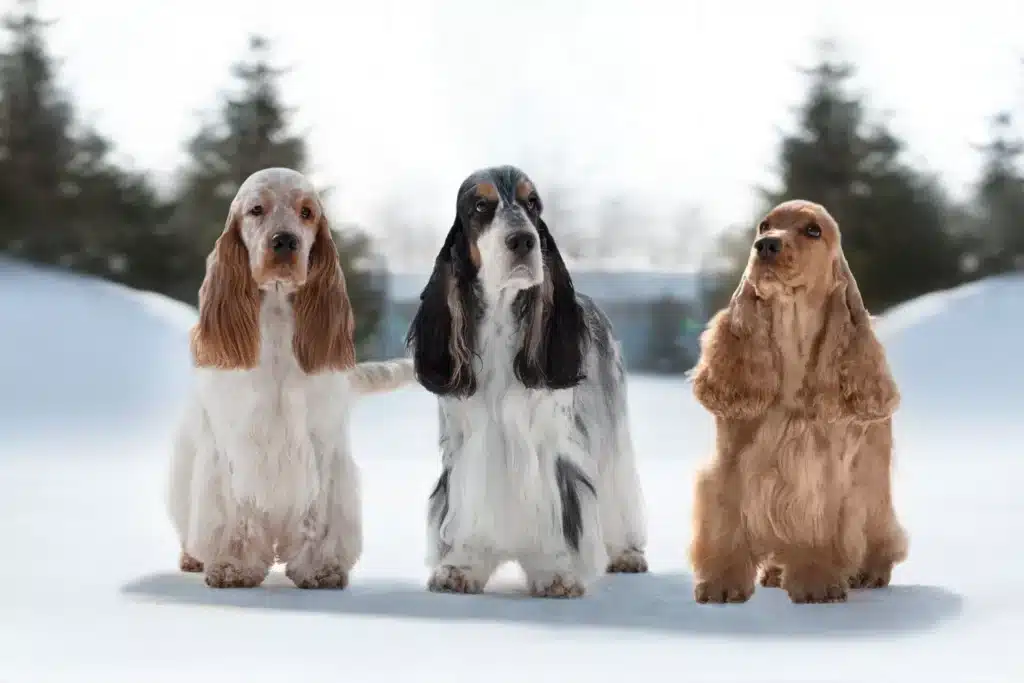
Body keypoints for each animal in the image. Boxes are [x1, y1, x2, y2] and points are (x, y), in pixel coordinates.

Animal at [403, 166, 643, 598]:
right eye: (480, 206)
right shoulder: (466, 445)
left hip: (612, 434)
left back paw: (627, 554)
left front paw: (555, 573)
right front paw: (461, 567)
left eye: (533, 204)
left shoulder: (549, 447)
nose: (523, 239)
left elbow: (555, 514)